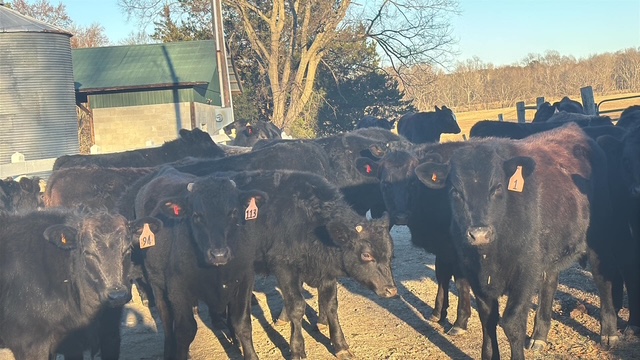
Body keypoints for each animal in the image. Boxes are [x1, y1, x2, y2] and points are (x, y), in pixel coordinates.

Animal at [132, 167, 268, 358]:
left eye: (233, 212)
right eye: (196, 216)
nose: (219, 254)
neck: (217, 273)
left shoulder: (244, 280)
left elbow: (241, 323)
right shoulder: (178, 289)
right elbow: (185, 331)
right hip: (157, 284)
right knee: (166, 320)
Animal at [416, 122, 620, 358]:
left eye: (497, 187)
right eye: (455, 191)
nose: (479, 233)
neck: (489, 256)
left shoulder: (525, 271)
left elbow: (512, 322)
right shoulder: (474, 274)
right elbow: (488, 318)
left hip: (600, 238)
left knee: (603, 279)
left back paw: (609, 333)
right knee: (549, 283)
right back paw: (539, 336)